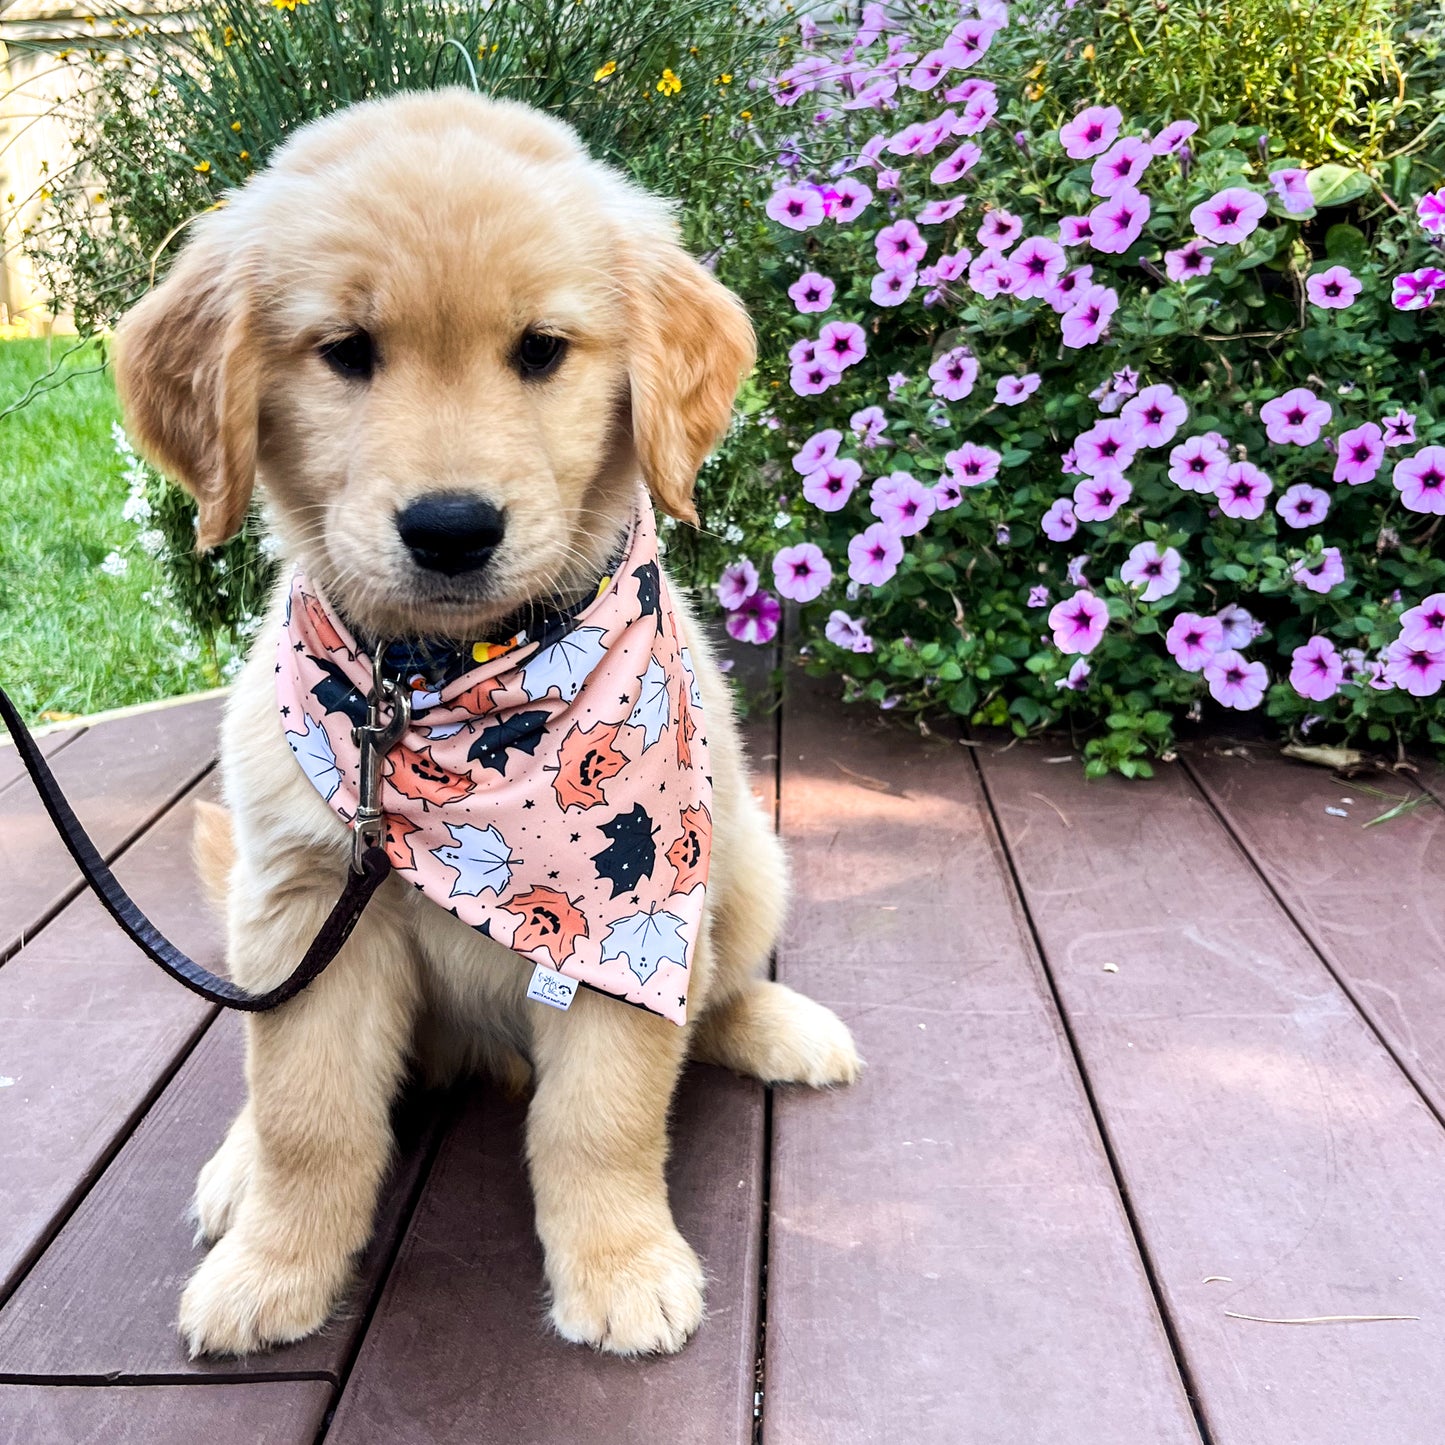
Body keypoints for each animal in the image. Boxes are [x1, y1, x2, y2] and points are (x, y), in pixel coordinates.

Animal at [115, 90, 855, 1352]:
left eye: (541, 350)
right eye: (347, 351)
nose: (451, 527)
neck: (444, 685)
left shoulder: (625, 922)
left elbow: (602, 1112)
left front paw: (619, 1265)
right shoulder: (307, 904)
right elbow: (306, 1115)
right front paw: (272, 1270)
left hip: (747, 861)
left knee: (714, 990)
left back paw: (778, 1026)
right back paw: (234, 1172)